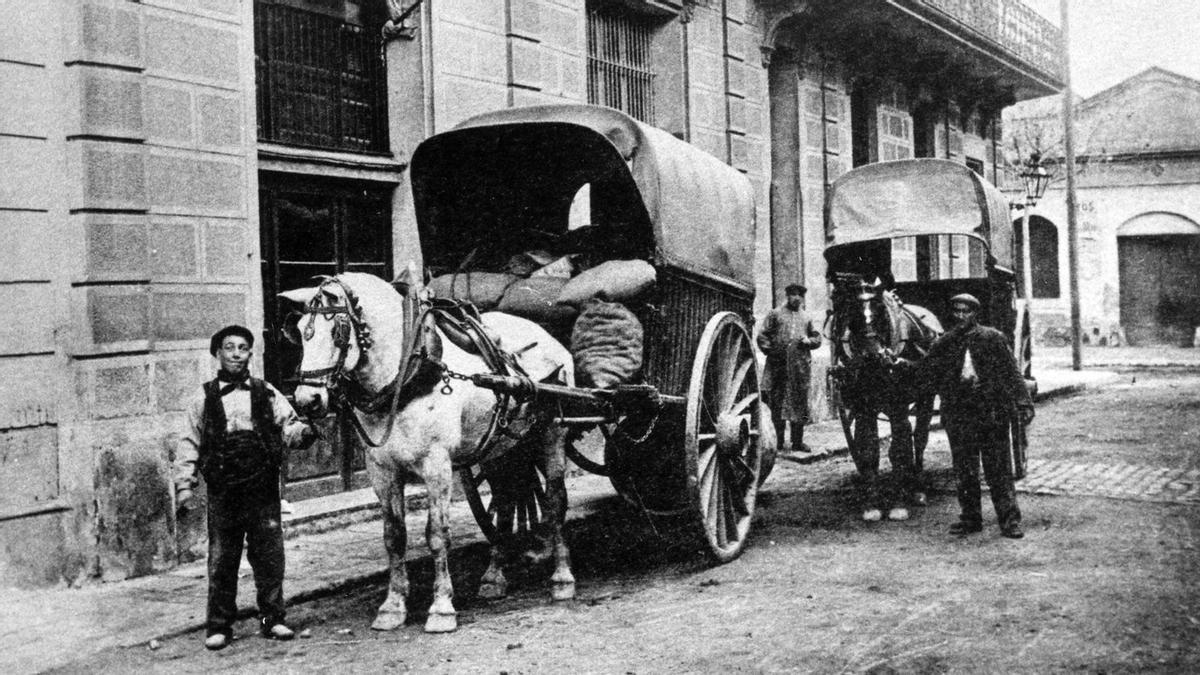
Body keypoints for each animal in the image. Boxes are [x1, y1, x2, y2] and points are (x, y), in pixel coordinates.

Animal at [283, 267, 578, 629]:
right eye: (299, 333)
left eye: (337, 332)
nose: (306, 401)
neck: (405, 373)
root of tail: (548, 337)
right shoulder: (382, 471)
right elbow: (394, 536)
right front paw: (393, 605)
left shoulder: (437, 466)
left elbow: (437, 534)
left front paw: (441, 607)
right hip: (500, 448)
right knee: (506, 502)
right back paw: (494, 576)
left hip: (552, 436)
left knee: (554, 503)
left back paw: (562, 578)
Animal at [830, 270, 940, 516]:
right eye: (853, 314)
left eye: (880, 311)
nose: (873, 355)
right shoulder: (863, 407)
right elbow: (869, 450)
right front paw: (871, 503)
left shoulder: (898, 404)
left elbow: (897, 449)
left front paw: (898, 504)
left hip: (925, 398)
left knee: (919, 438)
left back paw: (917, 487)